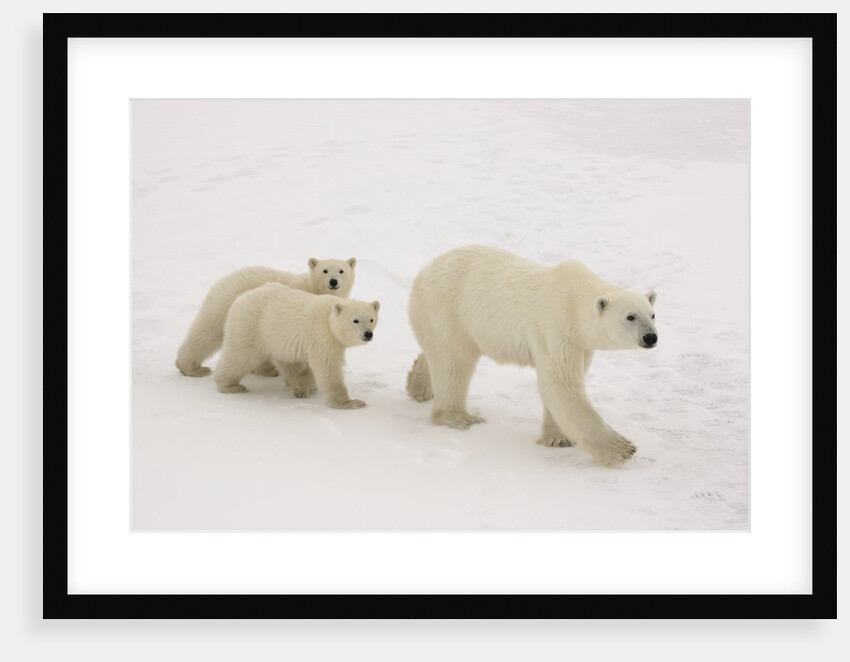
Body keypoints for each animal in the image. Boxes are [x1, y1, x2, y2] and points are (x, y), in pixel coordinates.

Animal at [175, 257, 356, 379]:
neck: (311, 288)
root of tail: (224, 279)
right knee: (208, 331)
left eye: (341, 270)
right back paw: (192, 368)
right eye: (325, 270)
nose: (333, 282)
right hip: (227, 305)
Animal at [214, 282, 380, 410]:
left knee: (288, 363)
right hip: (251, 326)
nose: (368, 334)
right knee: (240, 355)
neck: (329, 317)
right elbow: (327, 367)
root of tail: (240, 298)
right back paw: (230, 385)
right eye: (355, 320)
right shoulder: (322, 335)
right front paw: (351, 403)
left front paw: (302, 388)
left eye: (371, 319)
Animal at [405, 245, 658, 466]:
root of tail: (424, 271)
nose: (650, 337)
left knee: (438, 352)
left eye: (652, 314)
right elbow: (561, 383)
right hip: (447, 309)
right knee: (453, 363)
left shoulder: (581, 344)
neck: (575, 299)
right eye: (630, 316)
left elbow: (562, 384)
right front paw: (622, 449)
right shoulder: (555, 325)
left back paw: (419, 386)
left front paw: (557, 438)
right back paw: (459, 416)